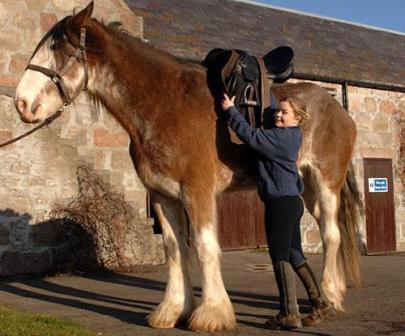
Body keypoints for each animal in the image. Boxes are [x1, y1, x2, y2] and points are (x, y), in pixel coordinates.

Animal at [13, 2, 360, 332]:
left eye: (58, 48)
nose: (21, 103)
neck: (164, 105)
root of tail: (338, 109)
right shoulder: (164, 197)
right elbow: (174, 250)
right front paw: (173, 310)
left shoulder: (197, 192)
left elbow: (205, 248)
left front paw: (212, 314)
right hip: (306, 191)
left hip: (326, 185)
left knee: (331, 235)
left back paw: (330, 296)